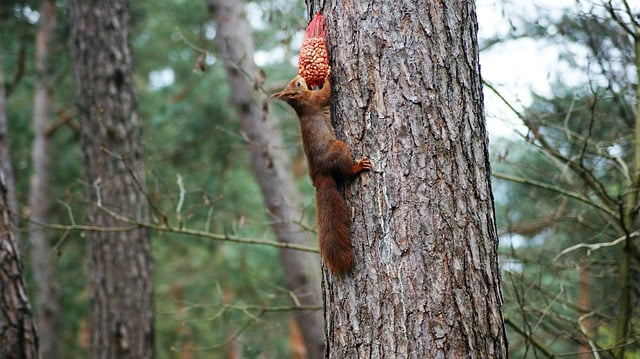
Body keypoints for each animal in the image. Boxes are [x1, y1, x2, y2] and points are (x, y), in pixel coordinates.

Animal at [272, 74, 372, 276]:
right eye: (298, 84)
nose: (300, 76)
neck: (301, 102)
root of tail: (320, 177)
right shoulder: (316, 100)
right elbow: (326, 93)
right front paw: (328, 75)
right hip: (340, 148)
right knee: (346, 172)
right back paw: (358, 167)